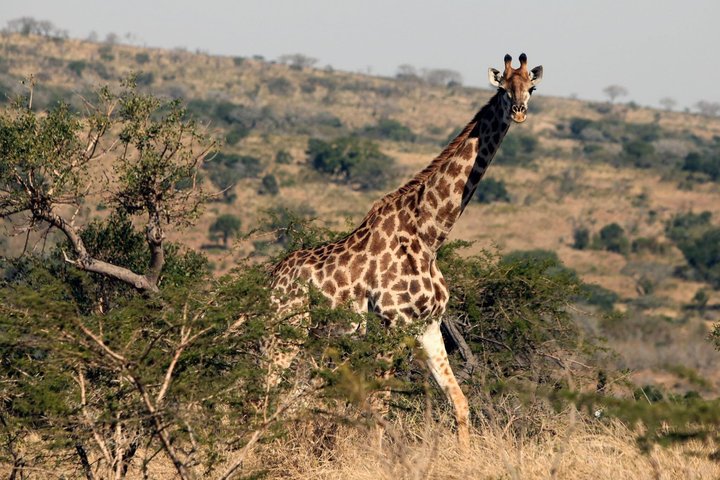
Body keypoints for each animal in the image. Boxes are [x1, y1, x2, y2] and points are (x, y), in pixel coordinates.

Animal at [270, 53, 543, 447]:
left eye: (531, 88)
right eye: (504, 89)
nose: (519, 112)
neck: (430, 236)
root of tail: (271, 276)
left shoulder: (427, 326)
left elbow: (459, 402)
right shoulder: (389, 324)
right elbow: (379, 407)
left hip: (315, 338)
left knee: (293, 395)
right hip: (284, 329)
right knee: (267, 387)